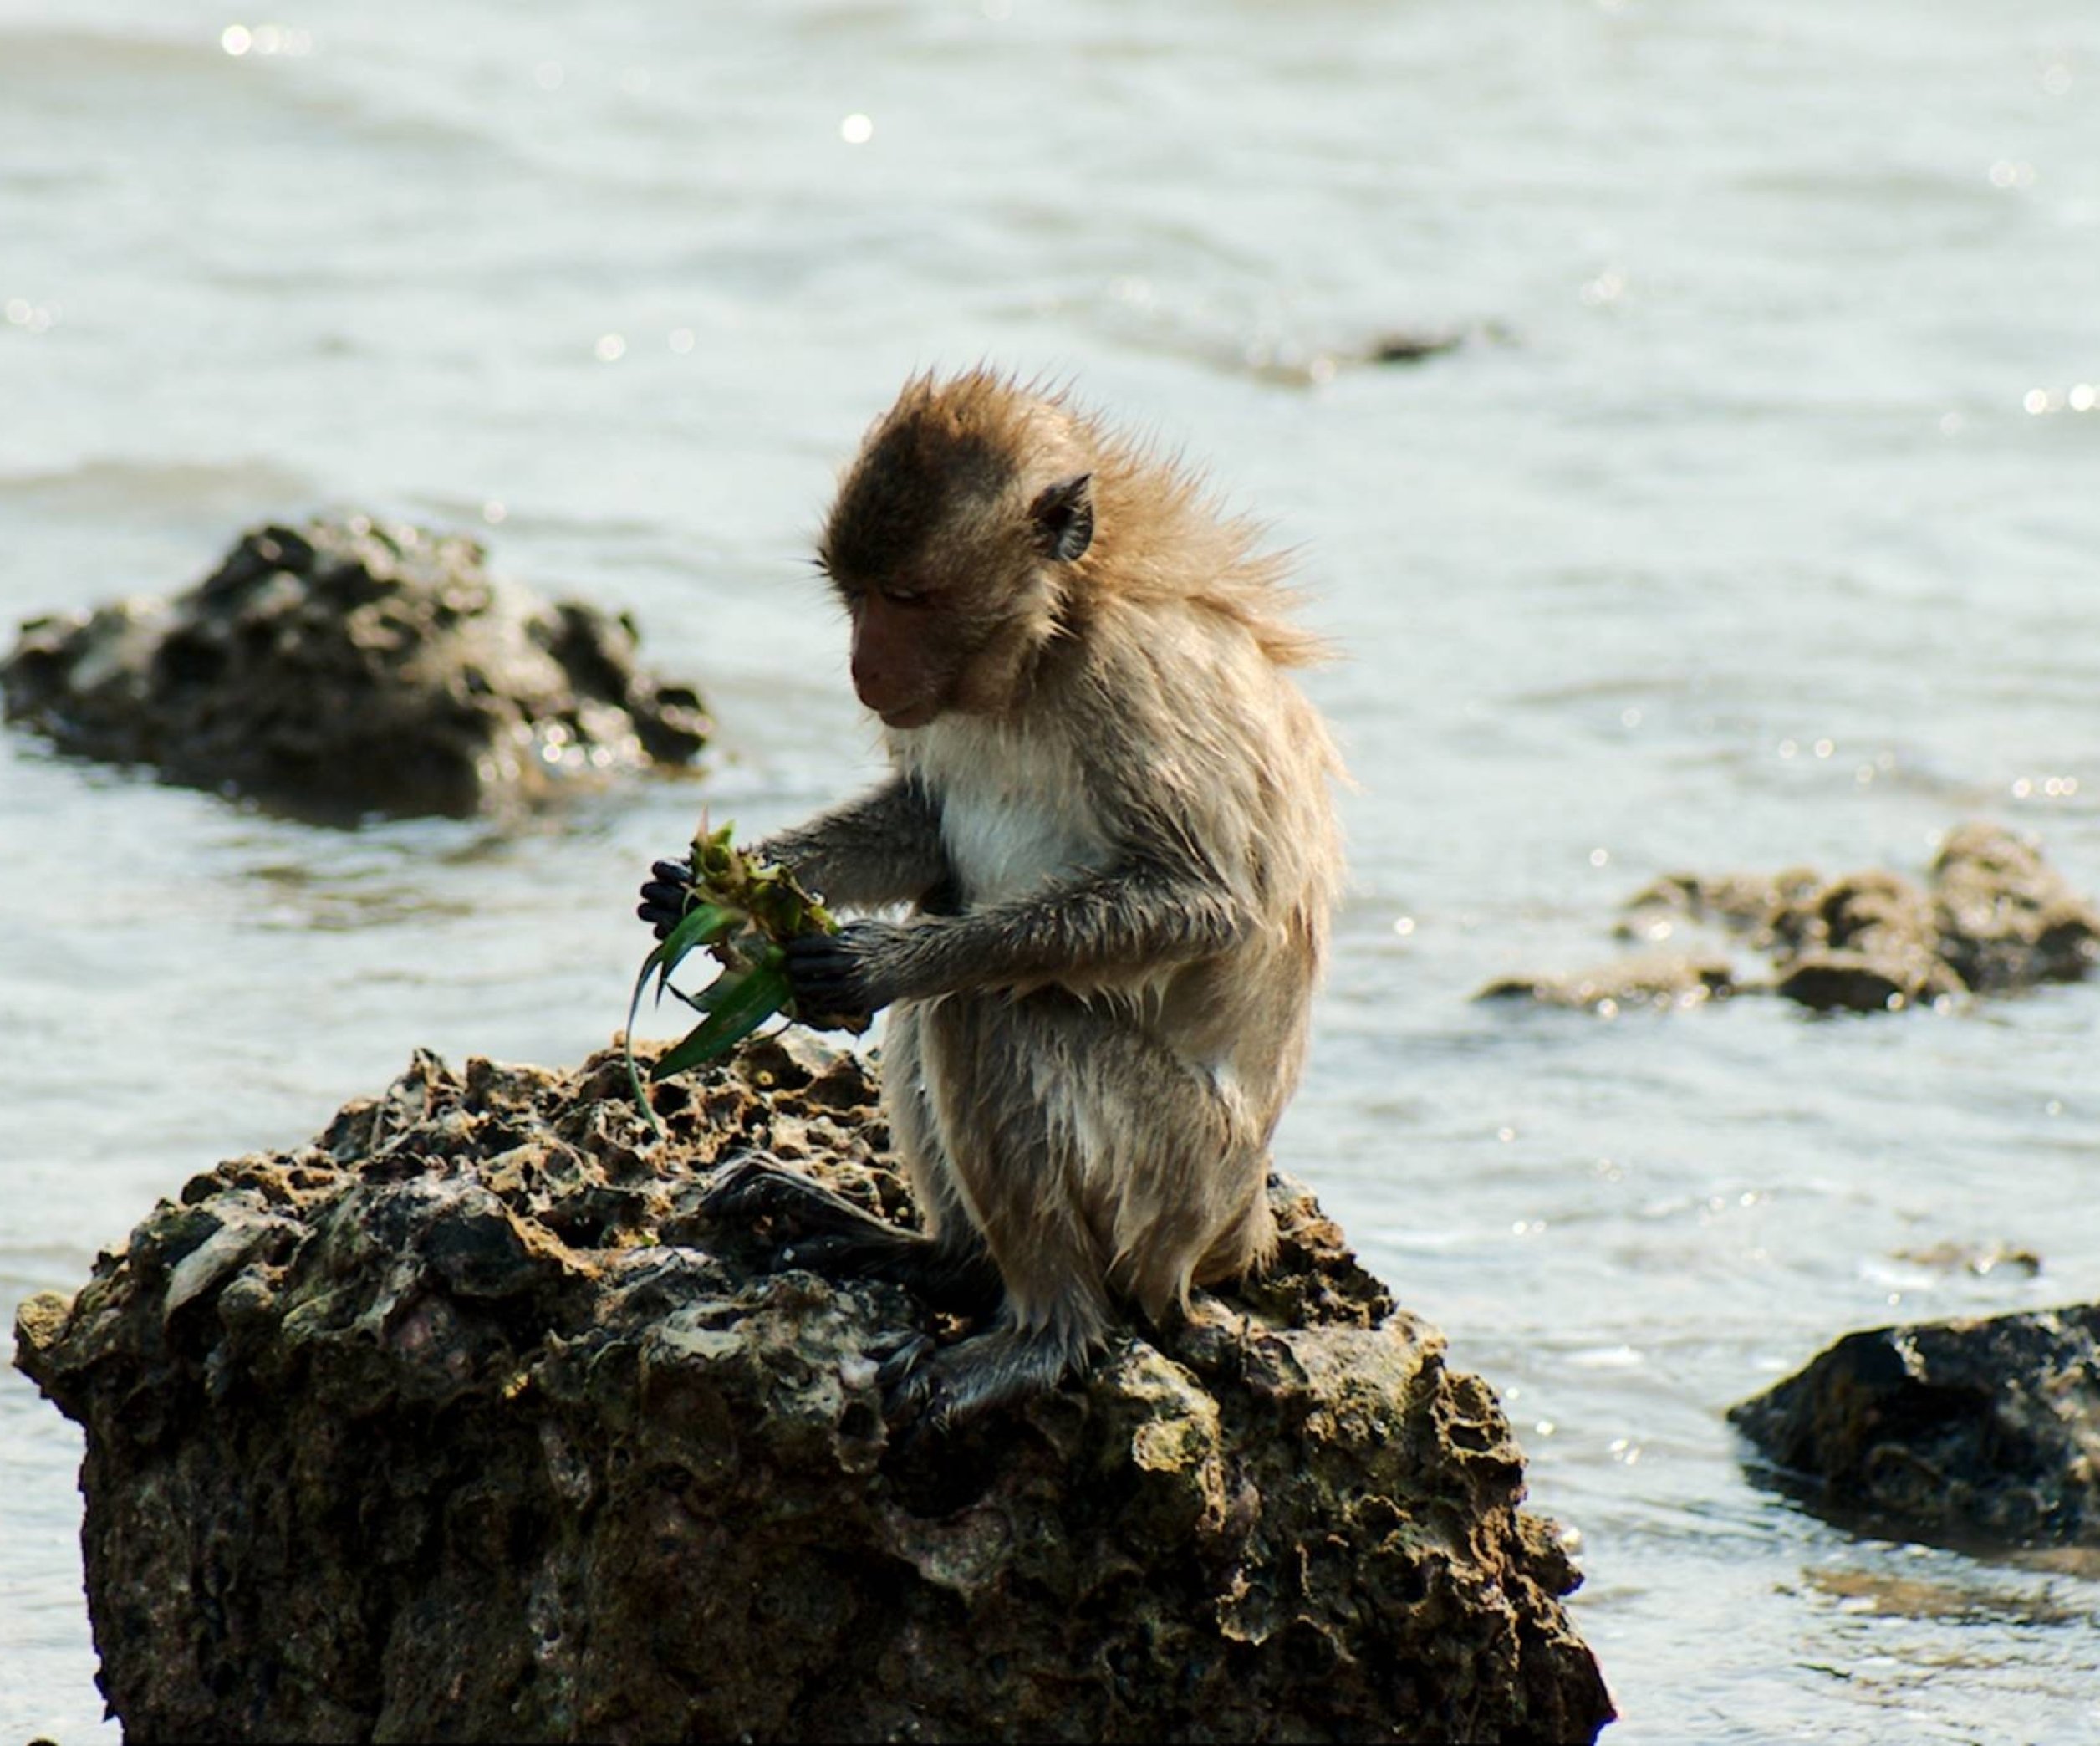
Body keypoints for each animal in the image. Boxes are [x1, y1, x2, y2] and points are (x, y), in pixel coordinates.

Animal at [629, 371, 1343, 1437]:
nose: (862, 669)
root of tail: (1242, 1225)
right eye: (856, 596)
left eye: (908, 597)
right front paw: (714, 888)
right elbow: (923, 826)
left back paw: (1045, 1329)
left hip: (1173, 1182)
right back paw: (940, 1258)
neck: (1047, 645)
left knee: (983, 1006)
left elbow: (1200, 901)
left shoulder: (1134, 681)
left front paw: (873, 963)